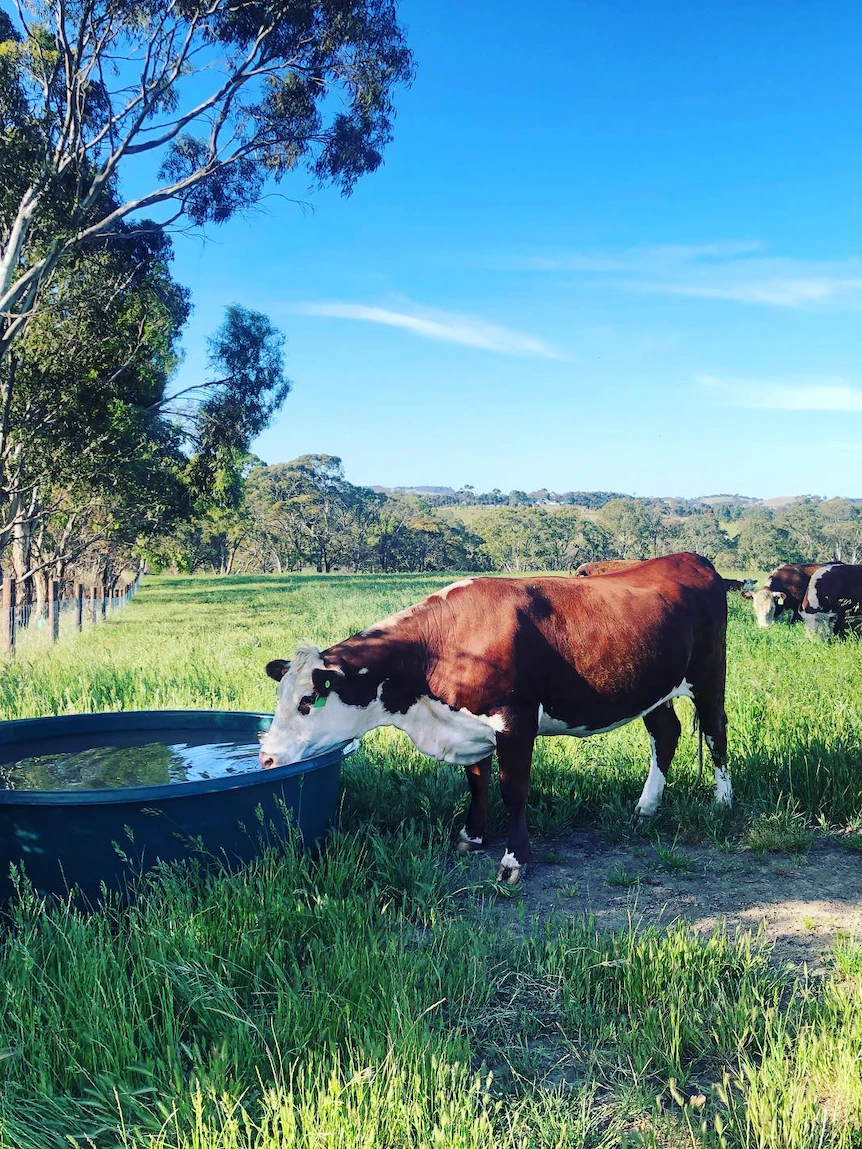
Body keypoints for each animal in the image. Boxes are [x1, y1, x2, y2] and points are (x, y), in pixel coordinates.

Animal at [259, 551, 730, 882]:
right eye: (280, 698)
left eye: (306, 701)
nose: (266, 759)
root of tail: (689, 558)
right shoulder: (471, 726)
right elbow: (477, 782)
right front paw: (472, 835)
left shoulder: (515, 721)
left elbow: (513, 791)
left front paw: (514, 859)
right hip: (655, 688)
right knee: (666, 733)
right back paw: (647, 807)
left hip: (709, 676)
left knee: (715, 734)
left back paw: (722, 802)